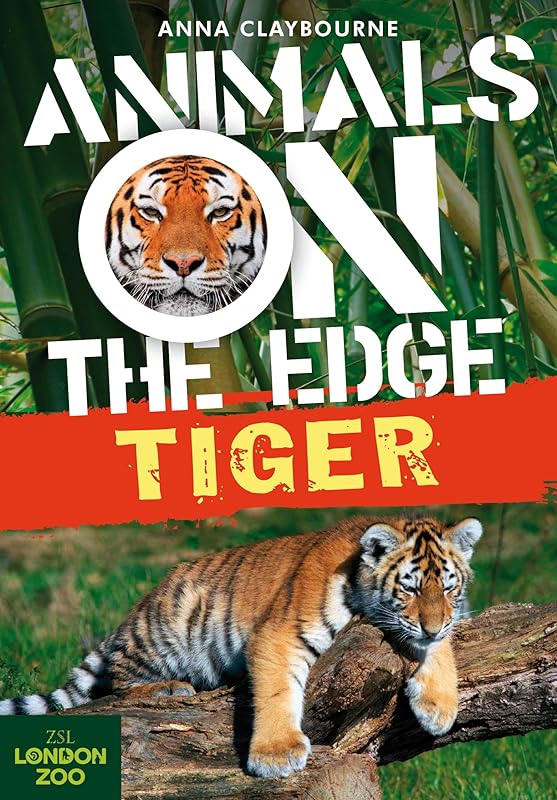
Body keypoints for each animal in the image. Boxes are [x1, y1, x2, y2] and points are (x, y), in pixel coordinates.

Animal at [0, 515, 482, 779]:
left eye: (448, 588)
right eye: (410, 588)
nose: (432, 626)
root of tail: (139, 608)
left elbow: (441, 648)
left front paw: (438, 706)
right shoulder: (280, 634)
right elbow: (277, 691)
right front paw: (276, 755)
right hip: (167, 629)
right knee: (119, 678)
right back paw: (167, 689)